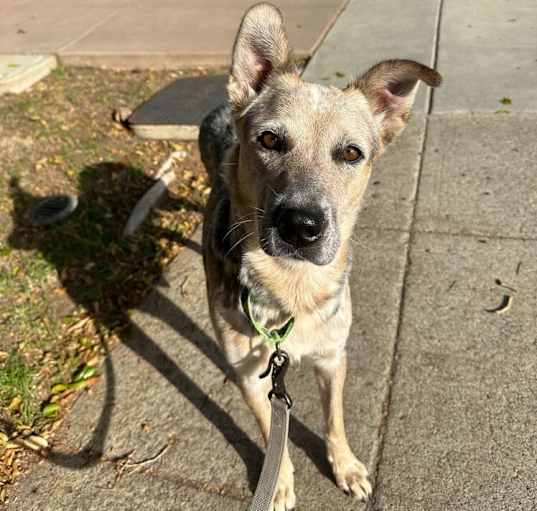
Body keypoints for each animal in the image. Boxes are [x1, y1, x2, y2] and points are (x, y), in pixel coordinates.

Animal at [199, 3, 442, 508]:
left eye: (351, 153)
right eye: (269, 140)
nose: (301, 226)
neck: (292, 286)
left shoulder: (333, 357)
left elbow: (334, 420)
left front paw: (344, 466)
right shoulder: (252, 375)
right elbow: (270, 429)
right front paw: (279, 482)